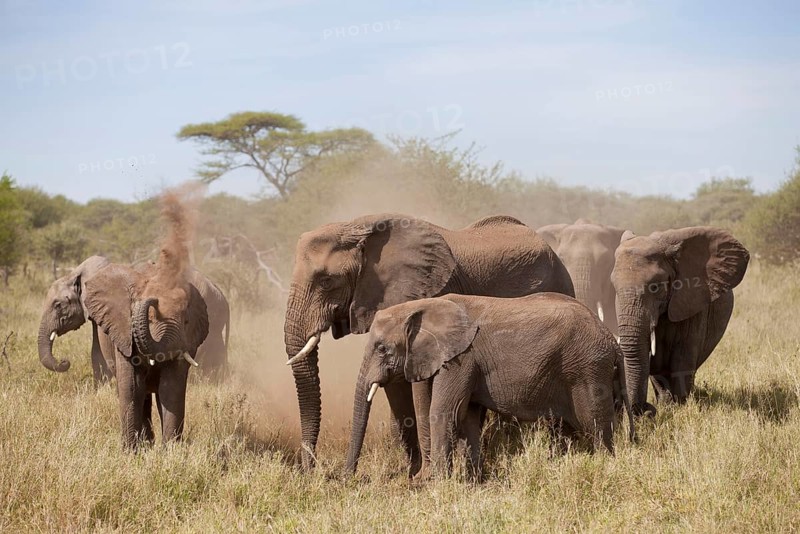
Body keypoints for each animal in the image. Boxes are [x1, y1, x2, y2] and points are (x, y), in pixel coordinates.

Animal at [38, 256, 230, 385]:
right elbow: (97, 352)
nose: (64, 361)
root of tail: (223, 297)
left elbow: (99, 352)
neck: (78, 273)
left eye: (57, 305)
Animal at [284, 213, 575, 471]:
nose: (314, 470)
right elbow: (396, 386)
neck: (359, 227)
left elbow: (421, 387)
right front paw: (413, 473)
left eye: (326, 281)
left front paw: (424, 475)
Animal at [345, 293, 634, 478]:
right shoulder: (454, 359)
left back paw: (606, 466)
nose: (349, 479)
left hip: (588, 371)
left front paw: (435, 484)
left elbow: (445, 411)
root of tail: (612, 341)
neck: (423, 306)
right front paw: (473, 480)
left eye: (382, 349)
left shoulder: (461, 358)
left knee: (595, 424)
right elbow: (469, 416)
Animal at [611, 227, 749, 415]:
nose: (647, 410)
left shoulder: (692, 302)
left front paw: (680, 408)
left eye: (655, 287)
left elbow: (682, 358)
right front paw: (668, 407)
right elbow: (653, 361)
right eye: (614, 287)